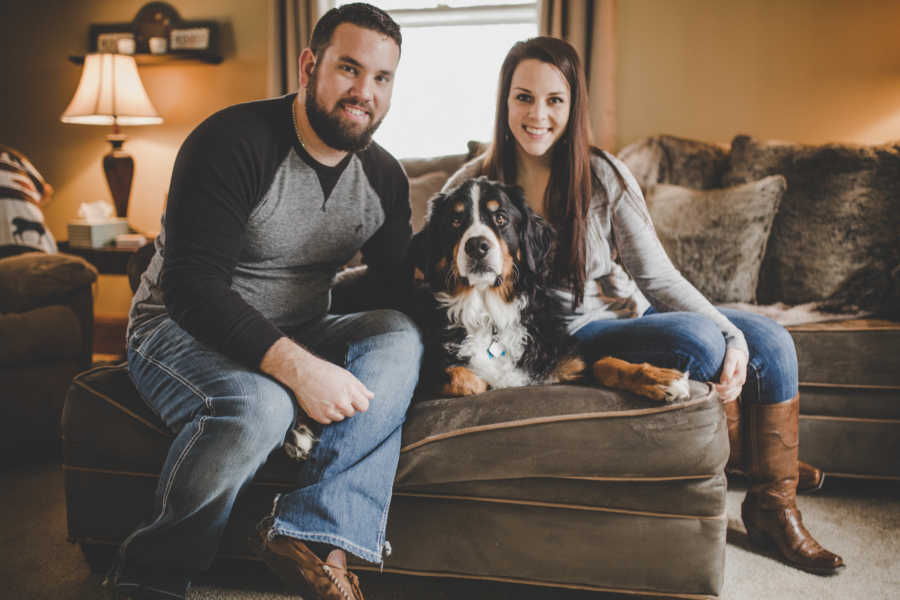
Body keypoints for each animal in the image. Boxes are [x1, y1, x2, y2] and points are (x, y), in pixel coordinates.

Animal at [414, 178, 688, 404]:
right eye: (455, 221)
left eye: (500, 218)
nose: (477, 246)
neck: (488, 313)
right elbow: (463, 378)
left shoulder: (563, 357)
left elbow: (606, 362)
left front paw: (661, 378)